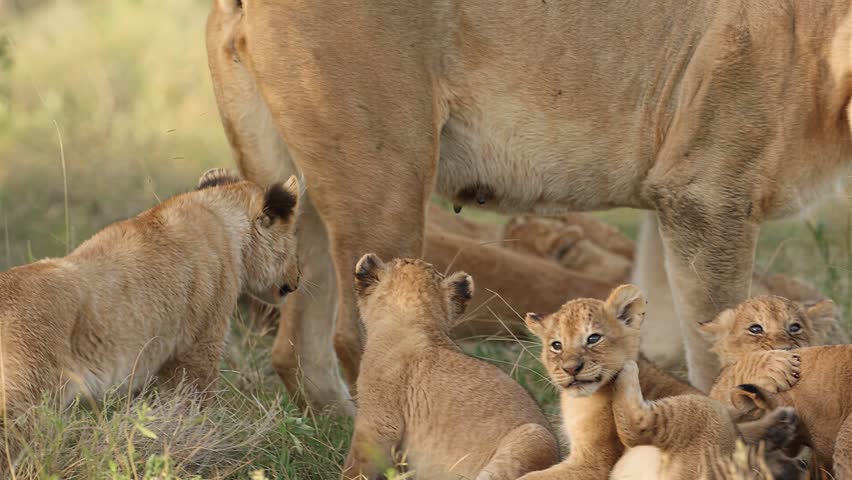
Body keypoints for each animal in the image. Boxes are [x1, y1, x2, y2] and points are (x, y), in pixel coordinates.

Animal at [0, 169, 301, 426]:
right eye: (295, 240)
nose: (298, 279)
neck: (220, 215)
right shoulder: (199, 346)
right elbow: (196, 399)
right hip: (26, 394)